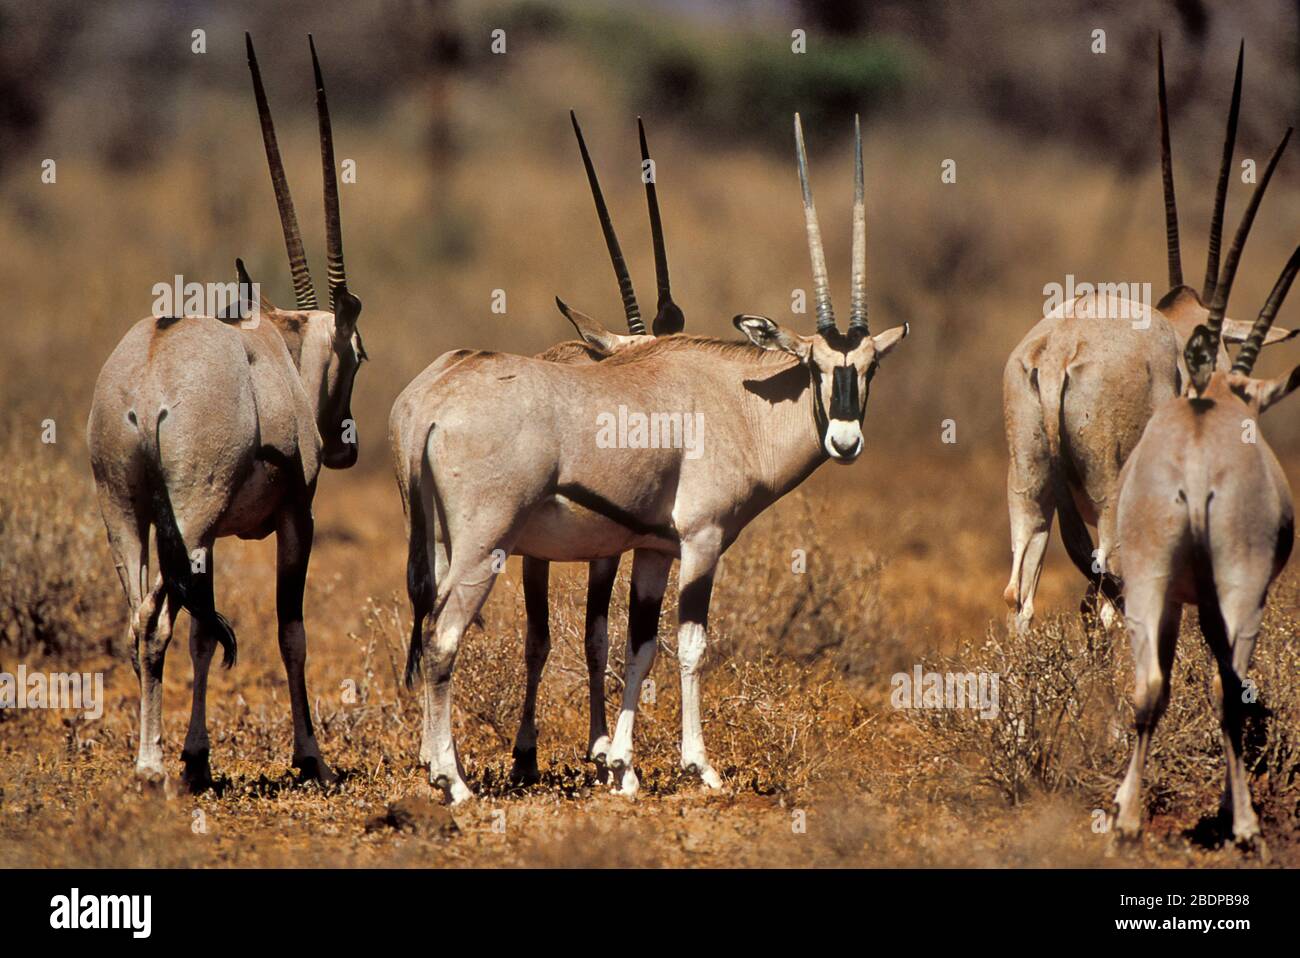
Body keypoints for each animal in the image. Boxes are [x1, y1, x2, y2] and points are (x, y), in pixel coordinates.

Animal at [89, 33, 366, 790]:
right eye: (360, 354)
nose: (345, 446)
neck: (276, 350)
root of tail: (144, 382)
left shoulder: (207, 539)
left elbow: (203, 639)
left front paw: (199, 756)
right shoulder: (294, 518)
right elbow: (290, 632)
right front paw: (310, 756)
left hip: (128, 513)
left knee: (141, 620)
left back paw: (152, 760)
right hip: (188, 510)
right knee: (154, 620)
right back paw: (150, 766)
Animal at [392, 113, 904, 800]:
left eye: (869, 366)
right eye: (816, 364)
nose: (845, 440)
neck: (737, 398)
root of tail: (429, 402)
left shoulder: (656, 549)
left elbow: (638, 645)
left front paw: (622, 766)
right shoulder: (702, 540)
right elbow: (689, 645)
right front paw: (700, 766)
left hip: (443, 544)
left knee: (428, 627)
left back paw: (437, 766)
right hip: (483, 547)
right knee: (443, 640)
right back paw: (454, 782)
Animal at [1003, 39, 1289, 634]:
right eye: (1223, 352)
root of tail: (1058, 353)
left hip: (1029, 489)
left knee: (1022, 595)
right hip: (1114, 496)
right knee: (1115, 594)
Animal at [1107, 204, 1300, 852]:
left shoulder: (1178, 598)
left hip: (1149, 583)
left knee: (1147, 687)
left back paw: (1128, 819)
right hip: (1244, 586)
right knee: (1229, 691)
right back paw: (1244, 826)